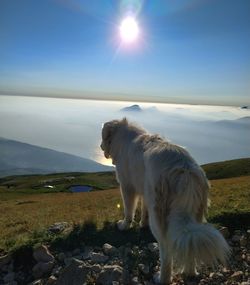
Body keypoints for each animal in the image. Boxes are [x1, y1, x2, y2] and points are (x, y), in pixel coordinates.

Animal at [100, 117, 229, 284]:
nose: (100, 146)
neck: (124, 138)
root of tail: (183, 171)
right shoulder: (144, 192)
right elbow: (144, 211)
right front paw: (142, 224)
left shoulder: (127, 187)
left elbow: (129, 210)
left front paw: (124, 226)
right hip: (196, 213)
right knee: (188, 246)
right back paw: (189, 272)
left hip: (159, 217)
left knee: (167, 250)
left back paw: (162, 278)